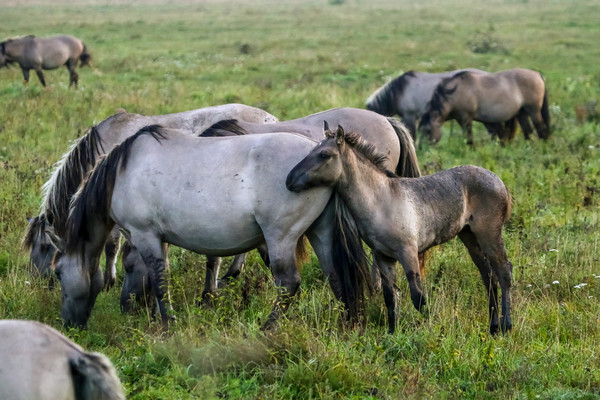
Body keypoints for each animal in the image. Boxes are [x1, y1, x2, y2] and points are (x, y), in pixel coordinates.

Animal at [51, 126, 370, 330]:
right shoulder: (157, 238)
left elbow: (158, 278)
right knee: (335, 275)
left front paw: (167, 323)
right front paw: (155, 317)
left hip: (280, 238)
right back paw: (347, 324)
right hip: (321, 233)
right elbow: (156, 277)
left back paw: (268, 328)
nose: (68, 325)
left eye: (58, 273)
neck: (122, 173)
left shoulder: (145, 235)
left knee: (288, 283)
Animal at [418, 68, 548, 145]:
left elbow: (469, 137)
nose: (421, 149)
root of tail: (537, 74)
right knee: (528, 131)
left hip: (534, 111)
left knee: (541, 128)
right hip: (522, 114)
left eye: (428, 130)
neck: (457, 92)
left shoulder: (466, 119)